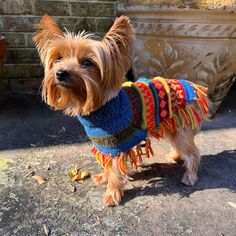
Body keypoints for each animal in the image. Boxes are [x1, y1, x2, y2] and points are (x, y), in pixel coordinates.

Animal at [32, 14, 208, 206]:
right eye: (58, 58)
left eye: (87, 62)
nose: (61, 73)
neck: (99, 106)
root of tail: (193, 87)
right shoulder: (105, 143)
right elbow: (107, 164)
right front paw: (104, 177)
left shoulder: (116, 144)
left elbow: (116, 170)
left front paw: (112, 193)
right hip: (173, 126)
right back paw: (175, 157)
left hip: (181, 129)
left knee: (193, 153)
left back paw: (189, 176)